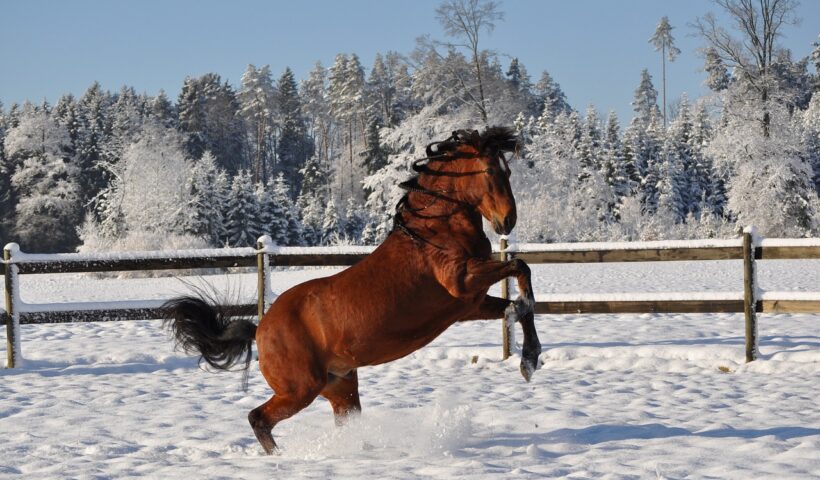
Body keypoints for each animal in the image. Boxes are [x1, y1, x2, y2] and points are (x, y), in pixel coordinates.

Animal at [163, 126, 540, 454]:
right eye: (490, 170)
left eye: (507, 170)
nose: (507, 221)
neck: (435, 232)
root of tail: (260, 329)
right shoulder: (462, 281)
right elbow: (521, 269)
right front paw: (529, 355)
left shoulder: (469, 304)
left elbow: (518, 307)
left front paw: (530, 360)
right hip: (300, 389)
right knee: (258, 418)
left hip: (340, 387)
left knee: (340, 421)